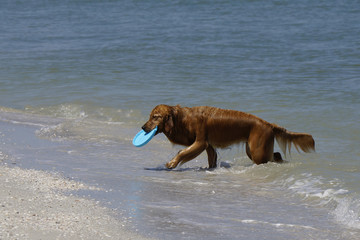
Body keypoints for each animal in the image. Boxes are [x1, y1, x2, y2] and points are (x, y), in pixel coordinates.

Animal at [141, 104, 316, 169]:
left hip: (257, 151)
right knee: (276, 154)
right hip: (253, 149)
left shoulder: (200, 142)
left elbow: (182, 152)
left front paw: (171, 163)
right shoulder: (208, 145)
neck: (184, 118)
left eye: (155, 117)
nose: (142, 127)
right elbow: (211, 158)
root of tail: (268, 124)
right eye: (150, 116)